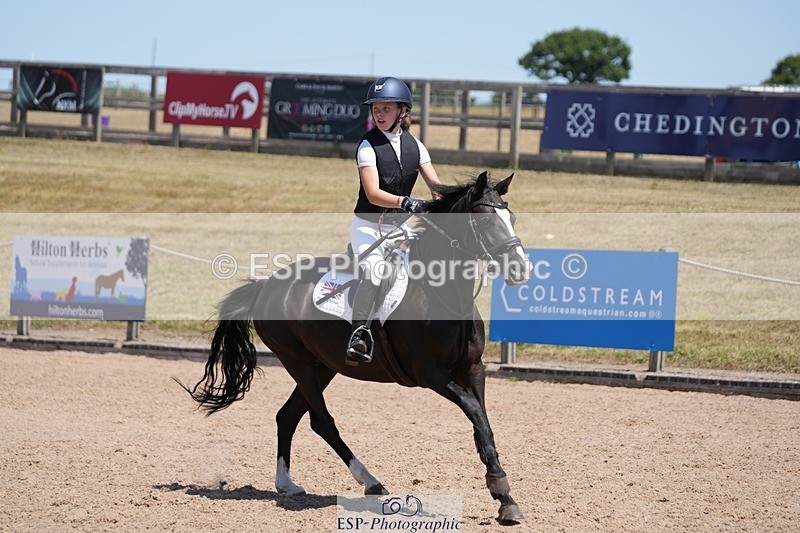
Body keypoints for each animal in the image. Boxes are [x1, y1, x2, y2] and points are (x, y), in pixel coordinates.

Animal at [180, 171, 531, 523]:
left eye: (511, 218)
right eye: (484, 221)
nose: (521, 269)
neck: (445, 293)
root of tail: (266, 286)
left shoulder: (473, 368)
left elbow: (482, 422)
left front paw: (505, 497)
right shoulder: (429, 372)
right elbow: (473, 410)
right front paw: (498, 484)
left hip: (323, 366)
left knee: (287, 416)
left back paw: (287, 484)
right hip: (298, 362)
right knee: (321, 421)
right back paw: (371, 481)